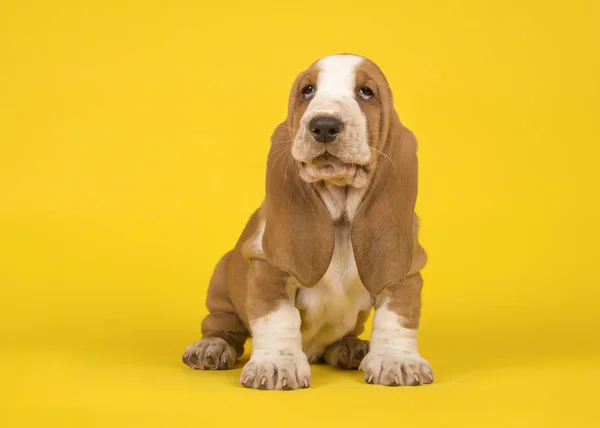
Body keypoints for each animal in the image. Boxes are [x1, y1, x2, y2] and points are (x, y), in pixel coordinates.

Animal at [180, 53, 434, 388]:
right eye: (307, 90)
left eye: (366, 92)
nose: (323, 126)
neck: (340, 215)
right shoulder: (268, 271)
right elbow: (278, 319)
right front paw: (277, 365)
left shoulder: (404, 273)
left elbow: (397, 317)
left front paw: (398, 360)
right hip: (221, 279)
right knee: (222, 325)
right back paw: (212, 346)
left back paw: (349, 348)